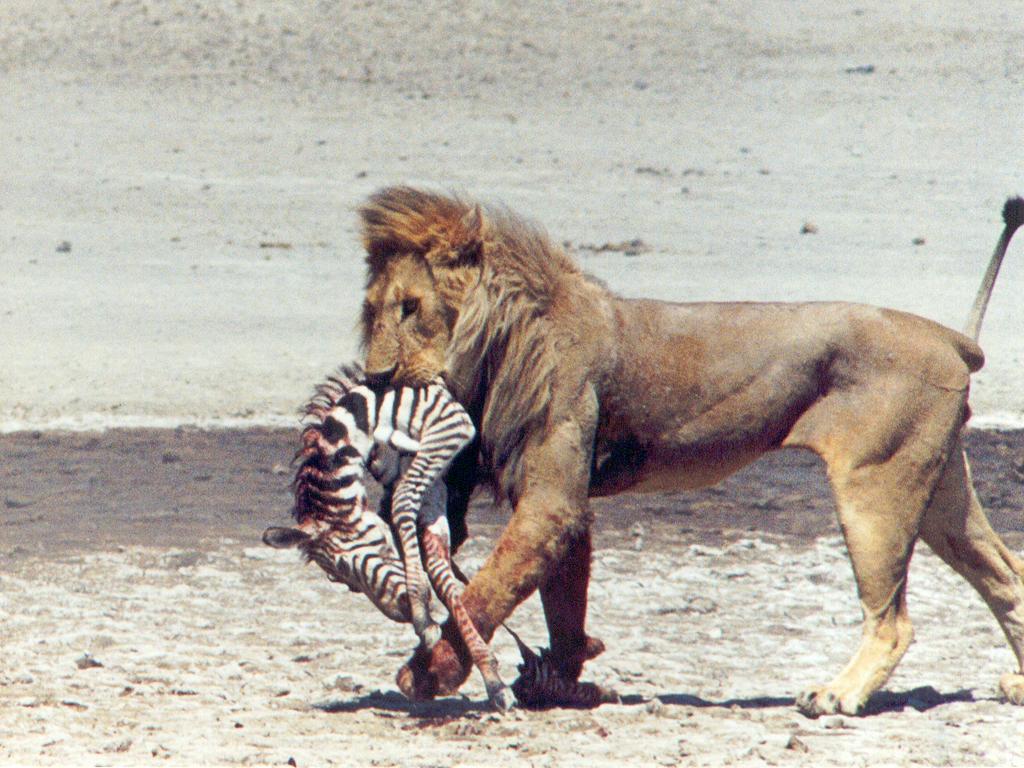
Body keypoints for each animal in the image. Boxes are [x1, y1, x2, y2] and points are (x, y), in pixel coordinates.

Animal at [262, 366, 512, 708]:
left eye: (344, 569)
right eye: (342, 581)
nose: (401, 614)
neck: (368, 416)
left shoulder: (450, 422)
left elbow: (403, 501)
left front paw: (422, 614)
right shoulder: (425, 470)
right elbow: (438, 563)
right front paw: (491, 675)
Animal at [354, 188, 1024, 720]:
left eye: (412, 309)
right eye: (372, 311)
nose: (377, 377)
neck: (506, 336)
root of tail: (950, 338)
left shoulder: (550, 501)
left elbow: (488, 589)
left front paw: (429, 671)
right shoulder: (563, 501)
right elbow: (561, 599)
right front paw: (562, 682)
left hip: (874, 489)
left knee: (893, 620)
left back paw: (837, 695)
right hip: (936, 489)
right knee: (1005, 574)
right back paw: (1016, 683)